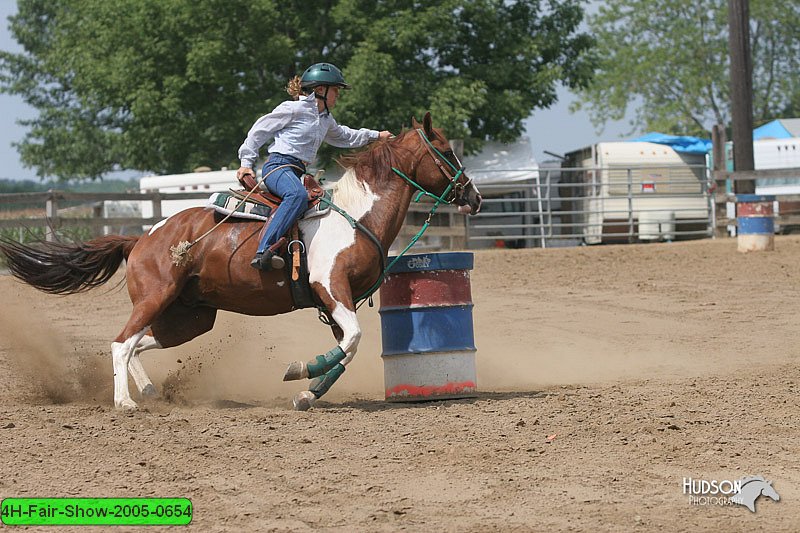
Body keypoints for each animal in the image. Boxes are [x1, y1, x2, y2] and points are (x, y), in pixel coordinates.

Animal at [0, 112, 482, 412]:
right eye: (446, 150)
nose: (474, 196)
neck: (355, 216)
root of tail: (144, 236)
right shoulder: (332, 289)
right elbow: (354, 340)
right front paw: (300, 371)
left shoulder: (335, 305)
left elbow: (348, 348)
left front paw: (308, 393)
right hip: (158, 297)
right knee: (121, 342)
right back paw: (125, 402)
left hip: (190, 317)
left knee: (138, 343)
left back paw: (151, 391)